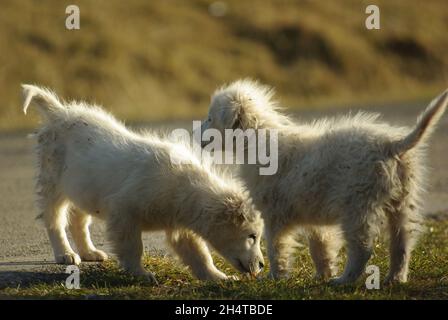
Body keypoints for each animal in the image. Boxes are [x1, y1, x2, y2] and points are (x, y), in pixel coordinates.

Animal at [21, 84, 266, 282]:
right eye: (252, 236)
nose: (262, 265)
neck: (183, 187)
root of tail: (59, 113)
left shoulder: (179, 225)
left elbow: (199, 254)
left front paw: (219, 277)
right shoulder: (124, 211)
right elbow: (132, 247)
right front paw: (141, 274)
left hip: (84, 186)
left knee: (79, 220)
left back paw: (90, 252)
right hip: (52, 179)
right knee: (54, 218)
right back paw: (65, 253)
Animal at [203, 79, 448, 284]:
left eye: (209, 118)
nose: (196, 132)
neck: (258, 140)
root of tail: (392, 145)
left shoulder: (275, 214)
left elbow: (276, 249)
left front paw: (275, 278)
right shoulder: (313, 218)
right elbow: (320, 249)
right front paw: (322, 275)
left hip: (356, 205)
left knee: (362, 248)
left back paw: (344, 281)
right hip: (402, 202)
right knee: (402, 243)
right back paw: (395, 278)